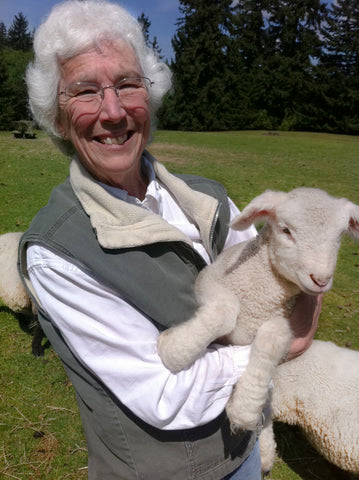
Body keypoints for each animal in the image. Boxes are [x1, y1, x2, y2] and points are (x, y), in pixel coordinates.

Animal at [158, 188, 359, 472]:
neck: (260, 298)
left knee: (267, 409)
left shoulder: (286, 324)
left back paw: (263, 451)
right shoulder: (207, 281)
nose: (320, 280)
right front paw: (174, 350)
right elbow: (225, 310)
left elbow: (270, 342)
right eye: (286, 230)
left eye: (339, 236)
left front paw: (244, 409)